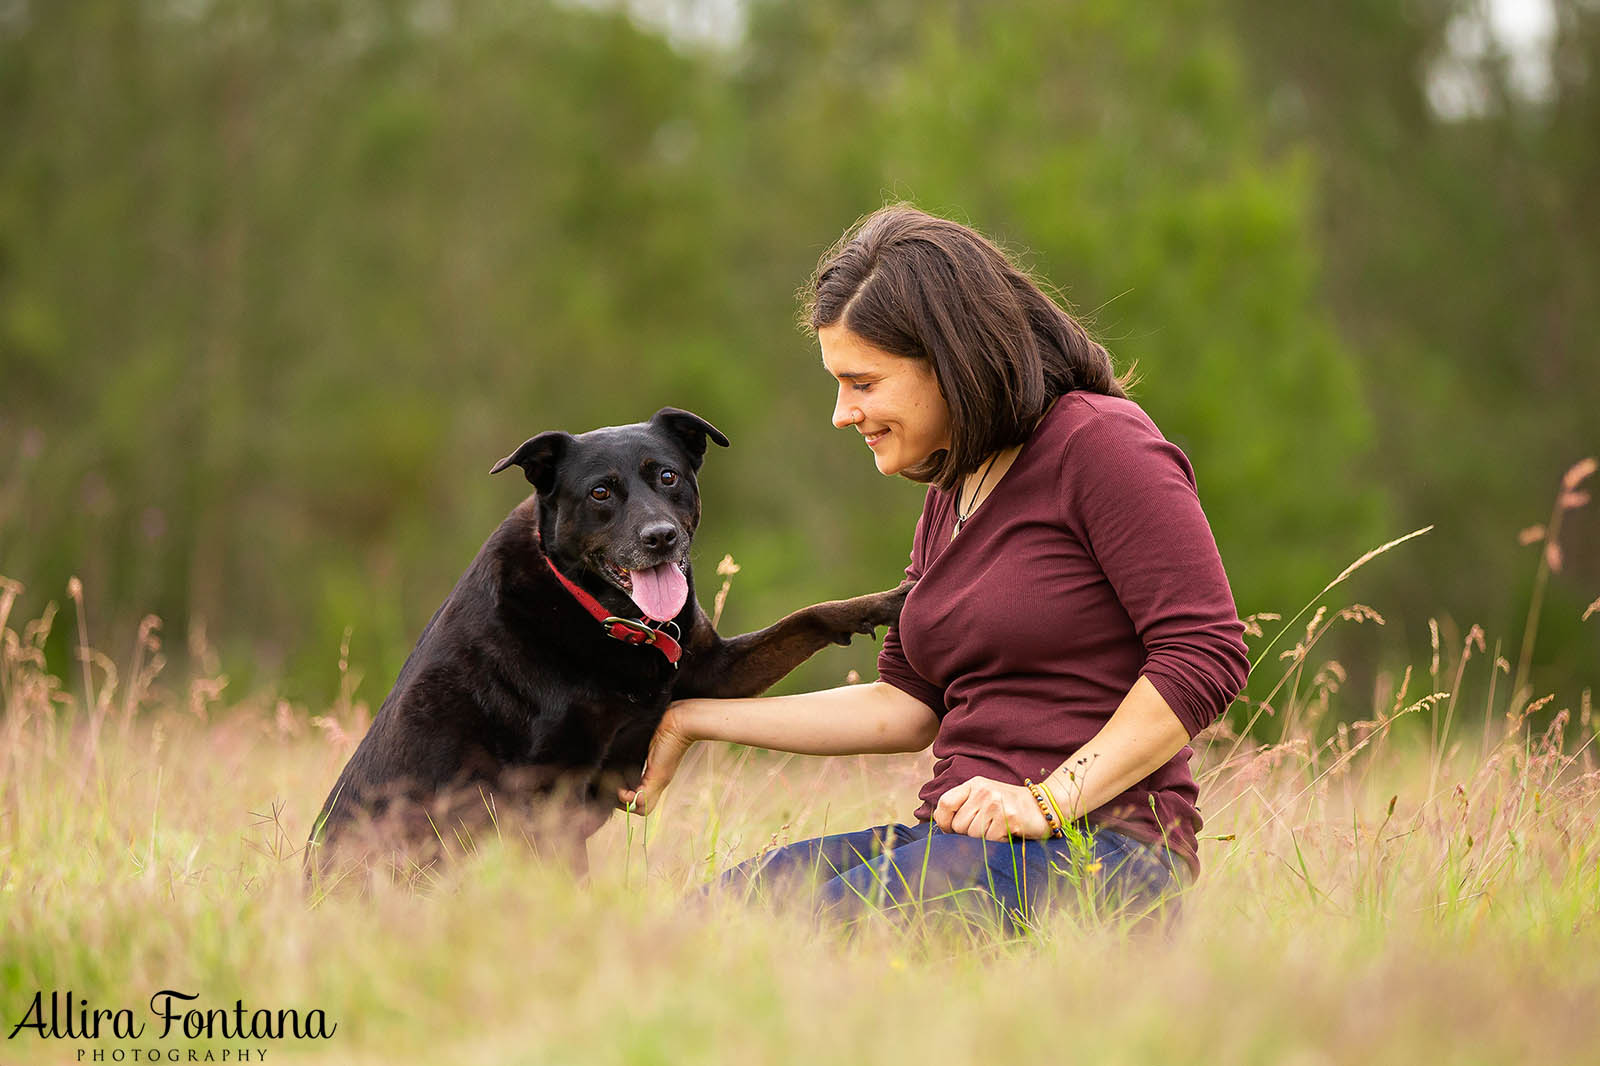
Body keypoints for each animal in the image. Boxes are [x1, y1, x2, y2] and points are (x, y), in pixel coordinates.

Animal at [308, 406, 915, 877]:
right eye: (600, 492)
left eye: (667, 477)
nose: (660, 537)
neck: (615, 620)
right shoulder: (547, 793)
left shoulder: (716, 669)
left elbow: (808, 618)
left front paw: (889, 602)